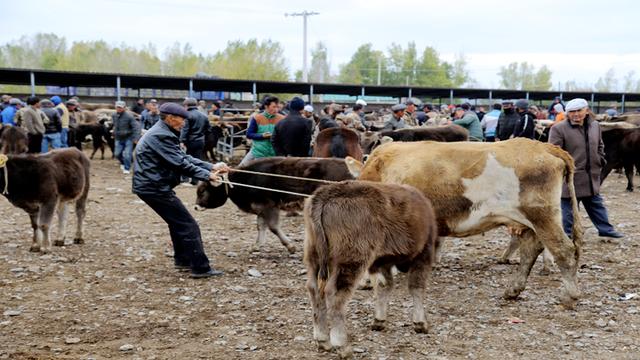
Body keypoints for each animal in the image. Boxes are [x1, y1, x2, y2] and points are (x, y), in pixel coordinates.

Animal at [195, 158, 356, 253]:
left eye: (203, 191)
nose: (195, 207)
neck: (244, 180)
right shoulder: (261, 209)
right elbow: (261, 225)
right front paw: (257, 245)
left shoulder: (269, 207)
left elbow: (273, 226)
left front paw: (290, 246)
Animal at [302, 181, 438, 358]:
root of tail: (326, 193)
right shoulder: (424, 254)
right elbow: (416, 287)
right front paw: (420, 323)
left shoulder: (381, 262)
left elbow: (384, 286)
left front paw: (379, 320)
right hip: (351, 260)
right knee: (334, 293)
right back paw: (342, 346)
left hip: (314, 257)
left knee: (314, 290)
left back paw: (323, 340)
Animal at [344, 139, 584, 308]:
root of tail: (545, 147)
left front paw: (367, 281)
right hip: (529, 222)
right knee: (531, 250)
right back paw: (513, 290)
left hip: (543, 216)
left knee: (563, 250)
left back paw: (570, 295)